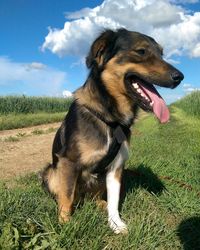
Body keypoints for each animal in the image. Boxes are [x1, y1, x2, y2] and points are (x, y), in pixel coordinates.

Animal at [41, 28, 183, 234]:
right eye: (141, 51)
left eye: (161, 54)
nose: (179, 78)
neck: (111, 118)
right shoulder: (68, 162)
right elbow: (66, 196)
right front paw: (65, 224)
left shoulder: (116, 166)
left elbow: (114, 200)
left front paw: (116, 224)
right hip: (51, 172)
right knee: (68, 196)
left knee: (95, 197)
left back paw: (101, 204)